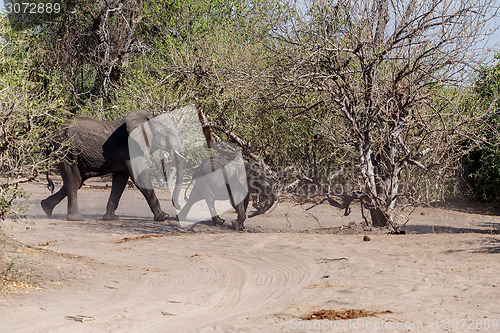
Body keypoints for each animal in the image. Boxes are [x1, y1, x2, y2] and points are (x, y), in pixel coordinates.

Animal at [40, 109, 186, 222]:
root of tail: (52, 136)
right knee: (74, 181)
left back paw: (45, 208)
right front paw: (163, 217)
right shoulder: (128, 148)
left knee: (77, 181)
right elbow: (140, 177)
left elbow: (120, 181)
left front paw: (111, 218)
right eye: (167, 132)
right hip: (67, 151)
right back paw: (76, 218)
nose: (176, 205)